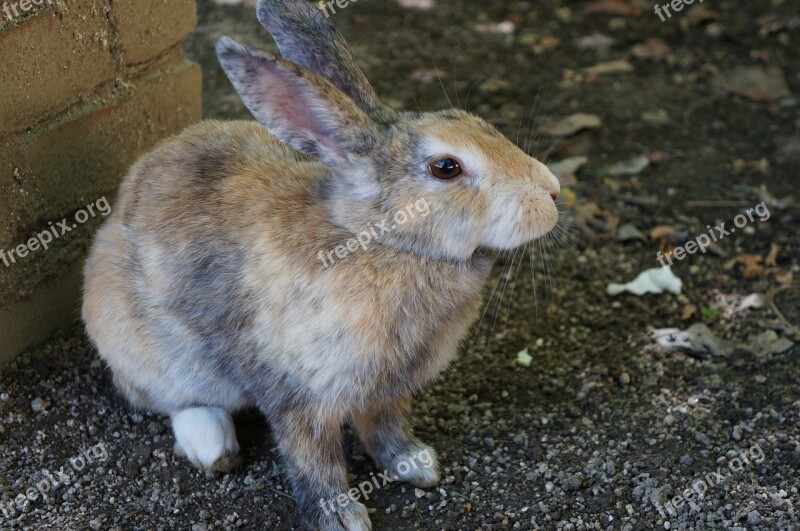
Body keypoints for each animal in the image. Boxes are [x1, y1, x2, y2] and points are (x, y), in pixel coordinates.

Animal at [79, 0, 556, 528]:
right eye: (446, 168)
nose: (552, 191)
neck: (380, 241)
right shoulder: (299, 396)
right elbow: (313, 459)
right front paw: (341, 517)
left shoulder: (386, 389)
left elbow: (387, 426)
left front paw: (416, 464)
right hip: (142, 347)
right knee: (167, 399)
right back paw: (212, 444)